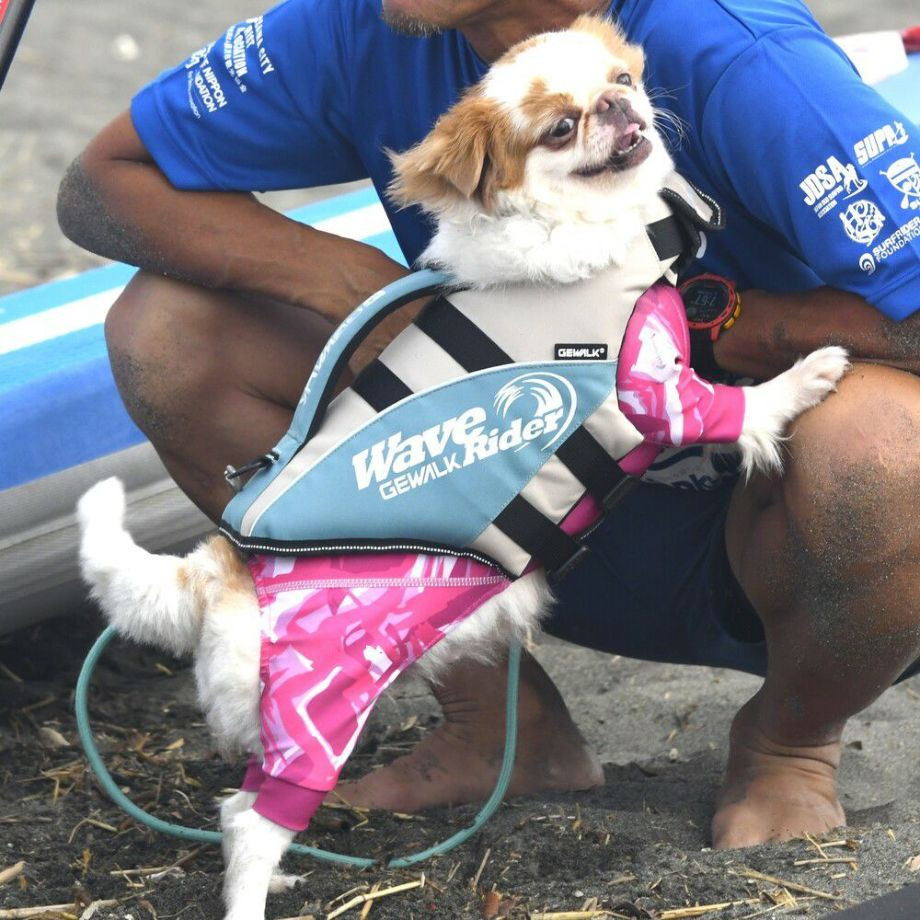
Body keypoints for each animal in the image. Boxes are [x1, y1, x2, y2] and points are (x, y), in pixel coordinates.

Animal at [79, 14, 848, 920]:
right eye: (560, 127)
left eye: (621, 77)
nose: (615, 104)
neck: (595, 229)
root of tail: (219, 572)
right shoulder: (653, 390)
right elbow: (741, 408)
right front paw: (807, 377)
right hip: (319, 712)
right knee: (251, 821)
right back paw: (258, 893)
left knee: (239, 809)